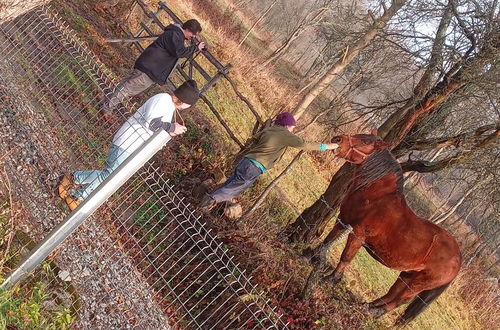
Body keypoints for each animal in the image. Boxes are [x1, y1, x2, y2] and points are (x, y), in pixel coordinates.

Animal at [306, 131, 462, 324]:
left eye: (366, 141)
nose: (337, 139)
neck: (377, 198)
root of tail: (458, 259)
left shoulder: (358, 234)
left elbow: (346, 258)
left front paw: (330, 280)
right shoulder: (342, 221)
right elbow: (327, 240)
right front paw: (310, 255)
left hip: (417, 284)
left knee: (398, 301)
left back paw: (372, 312)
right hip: (407, 275)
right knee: (391, 295)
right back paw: (366, 307)